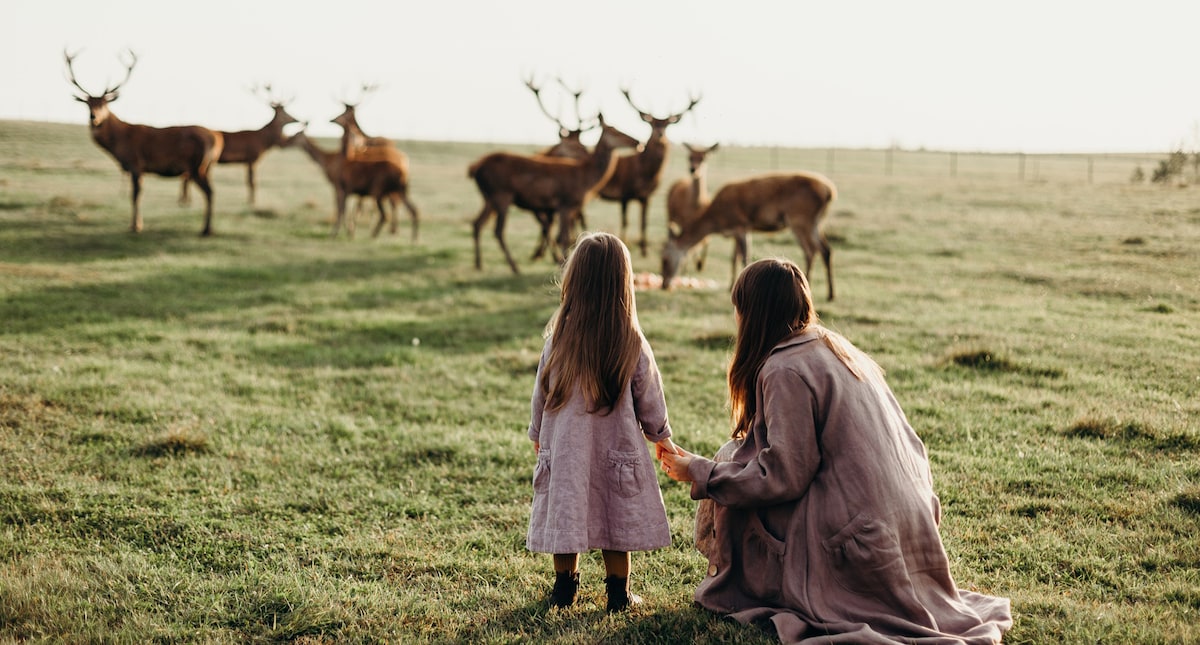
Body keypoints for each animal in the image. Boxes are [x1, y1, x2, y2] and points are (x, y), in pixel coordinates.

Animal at [65, 49, 225, 236]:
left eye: (104, 104)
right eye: (88, 104)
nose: (94, 117)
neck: (119, 142)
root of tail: (217, 137)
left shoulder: (135, 163)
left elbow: (135, 195)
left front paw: (136, 226)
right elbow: (136, 194)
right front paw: (136, 224)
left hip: (196, 165)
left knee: (209, 191)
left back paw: (206, 229)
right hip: (207, 166)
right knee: (211, 191)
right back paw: (207, 228)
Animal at [468, 114, 643, 272]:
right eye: (615, 131)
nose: (638, 142)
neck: (586, 180)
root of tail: (475, 169)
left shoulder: (566, 208)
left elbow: (564, 235)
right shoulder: (565, 203)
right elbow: (564, 236)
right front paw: (562, 265)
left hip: (488, 198)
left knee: (477, 223)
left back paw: (479, 264)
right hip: (501, 194)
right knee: (497, 230)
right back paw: (514, 267)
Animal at [600, 87, 700, 256]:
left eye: (668, 124)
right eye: (651, 123)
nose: (660, 134)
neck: (646, 173)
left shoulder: (647, 196)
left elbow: (644, 222)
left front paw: (644, 249)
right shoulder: (624, 193)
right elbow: (625, 221)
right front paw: (625, 242)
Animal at [662, 170, 840, 300]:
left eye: (665, 259)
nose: (664, 284)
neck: (717, 219)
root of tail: (830, 192)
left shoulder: (741, 226)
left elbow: (744, 257)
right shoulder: (739, 230)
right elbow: (735, 257)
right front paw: (730, 286)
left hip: (800, 219)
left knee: (812, 250)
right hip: (814, 222)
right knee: (825, 249)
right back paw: (827, 292)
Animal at [667, 140, 720, 270]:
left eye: (704, 158)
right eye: (689, 157)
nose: (693, 169)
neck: (696, 206)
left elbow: (706, 241)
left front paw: (700, 264)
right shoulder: (686, 222)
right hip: (670, 214)